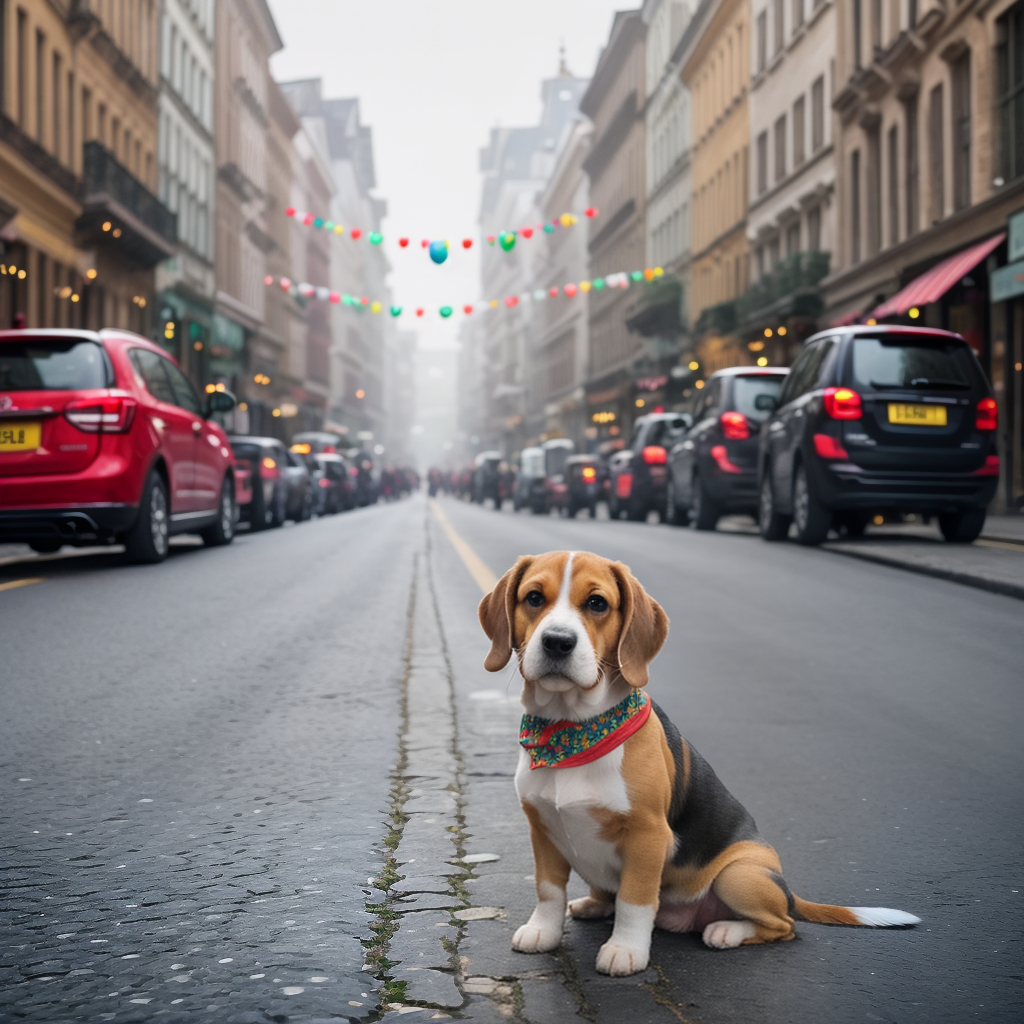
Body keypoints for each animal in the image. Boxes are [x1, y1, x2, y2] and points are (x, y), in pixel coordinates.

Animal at [477, 552, 921, 974]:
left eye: (597, 603)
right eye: (534, 598)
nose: (557, 642)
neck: (571, 732)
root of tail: (789, 893)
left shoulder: (648, 836)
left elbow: (635, 899)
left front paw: (625, 951)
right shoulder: (543, 829)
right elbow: (549, 891)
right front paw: (543, 932)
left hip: (738, 874)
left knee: (785, 926)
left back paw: (726, 930)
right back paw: (596, 903)